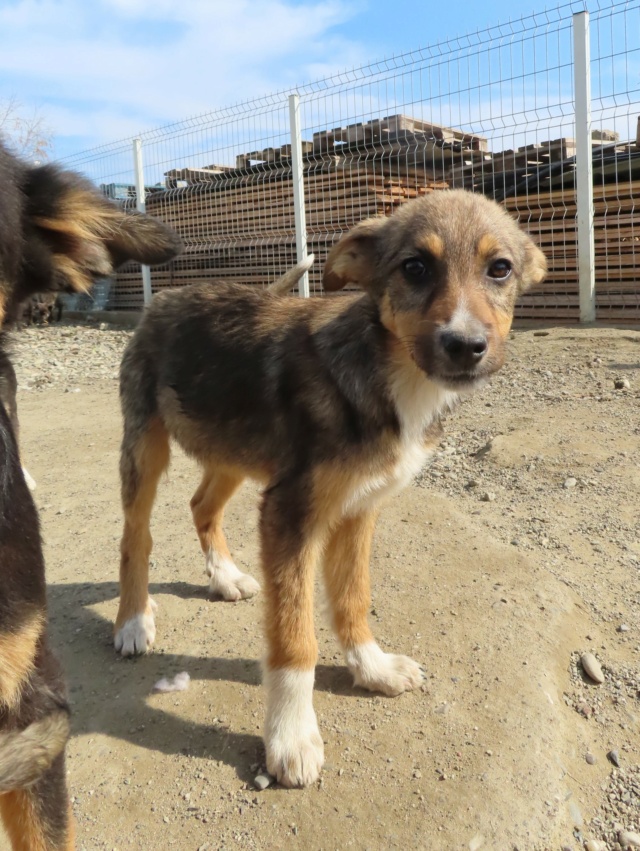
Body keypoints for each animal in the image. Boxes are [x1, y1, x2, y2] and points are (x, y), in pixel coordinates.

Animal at [114, 190, 544, 788]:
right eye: (415, 267)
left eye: (499, 268)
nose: (465, 346)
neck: (391, 375)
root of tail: (171, 294)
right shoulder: (290, 513)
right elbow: (296, 637)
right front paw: (290, 736)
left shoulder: (358, 507)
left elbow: (352, 597)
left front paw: (371, 667)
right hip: (146, 445)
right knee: (136, 536)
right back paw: (134, 621)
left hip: (234, 450)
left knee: (201, 504)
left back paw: (224, 576)